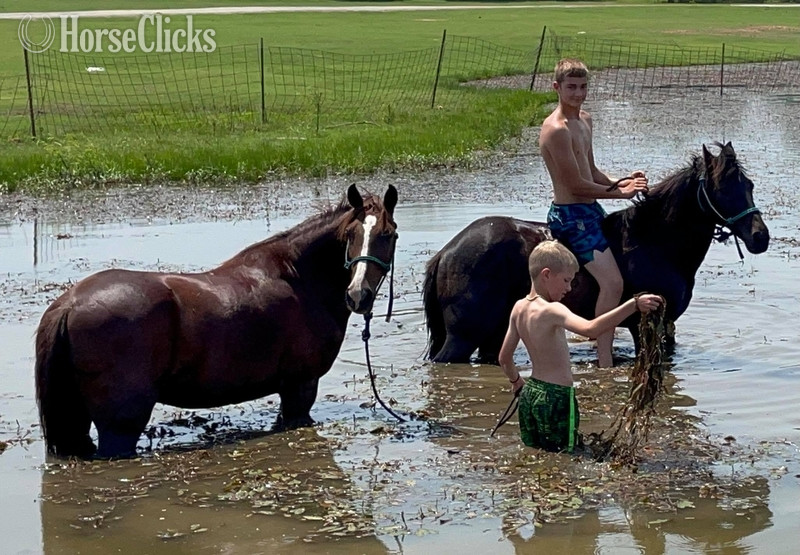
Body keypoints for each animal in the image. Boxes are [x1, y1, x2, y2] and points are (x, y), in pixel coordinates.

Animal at [35, 184, 399, 459]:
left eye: (389, 235)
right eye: (350, 234)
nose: (358, 295)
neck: (299, 278)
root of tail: (69, 303)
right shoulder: (300, 387)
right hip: (120, 428)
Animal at [423, 142, 770, 364]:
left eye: (750, 185)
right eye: (722, 189)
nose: (760, 237)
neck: (655, 242)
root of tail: (446, 252)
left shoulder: (667, 324)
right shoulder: (643, 324)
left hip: (495, 331)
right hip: (464, 335)